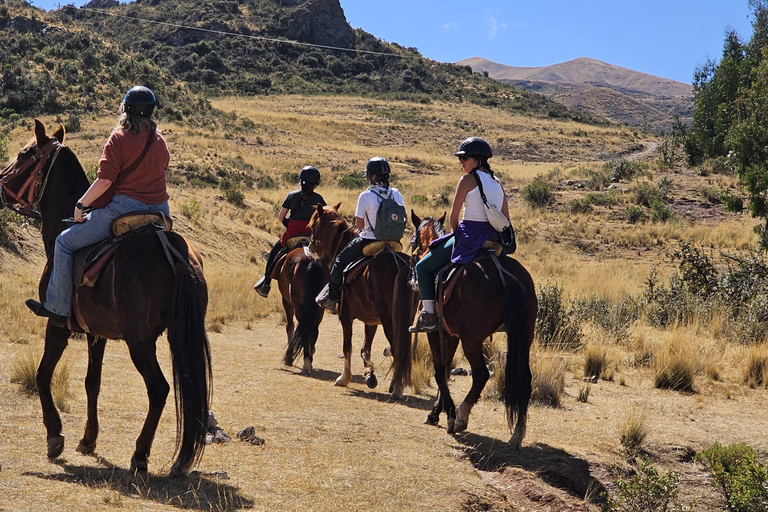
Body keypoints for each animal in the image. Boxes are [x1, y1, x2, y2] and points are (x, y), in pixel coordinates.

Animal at [0, 121, 212, 476]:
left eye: (24, 154)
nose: (1, 184)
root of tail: (174, 252)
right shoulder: (95, 335)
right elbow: (92, 382)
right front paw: (88, 439)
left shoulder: (57, 325)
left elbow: (42, 374)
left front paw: (55, 437)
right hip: (178, 335)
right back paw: (181, 460)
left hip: (140, 342)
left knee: (159, 389)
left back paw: (140, 455)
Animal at [272, 242, 328, 374]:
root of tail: (312, 261)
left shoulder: (286, 302)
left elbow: (290, 326)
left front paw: (289, 358)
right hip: (319, 308)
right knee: (314, 330)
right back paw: (309, 360)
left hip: (298, 306)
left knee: (305, 330)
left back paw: (306, 363)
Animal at [306, 202, 414, 398]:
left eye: (312, 225)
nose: (311, 247)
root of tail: (400, 263)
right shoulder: (371, 321)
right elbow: (366, 349)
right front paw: (369, 374)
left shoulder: (345, 316)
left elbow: (347, 347)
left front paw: (343, 378)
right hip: (406, 319)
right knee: (403, 350)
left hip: (390, 320)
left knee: (397, 348)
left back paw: (397, 388)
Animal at [412, 210, 536, 446]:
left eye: (412, 241)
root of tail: (507, 276)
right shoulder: (451, 335)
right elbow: (446, 370)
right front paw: (436, 412)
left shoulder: (435, 332)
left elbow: (439, 371)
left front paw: (449, 415)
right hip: (524, 338)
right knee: (525, 378)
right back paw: (518, 433)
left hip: (472, 340)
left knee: (481, 375)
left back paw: (461, 416)